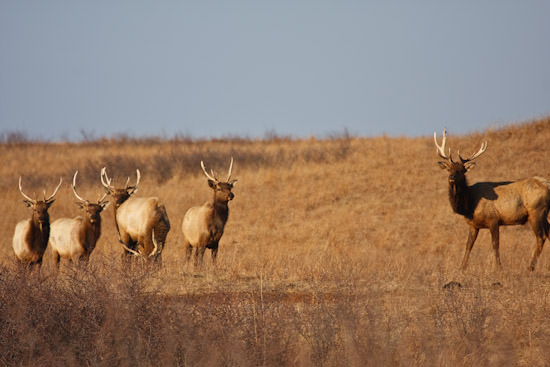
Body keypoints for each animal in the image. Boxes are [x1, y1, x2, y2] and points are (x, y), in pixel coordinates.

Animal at [436, 129, 550, 270]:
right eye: (449, 169)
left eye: (462, 171)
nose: (451, 177)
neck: (469, 206)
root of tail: (547, 184)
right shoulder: (473, 225)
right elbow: (468, 246)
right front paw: (461, 268)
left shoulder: (493, 219)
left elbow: (495, 245)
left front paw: (499, 268)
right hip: (544, 214)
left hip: (536, 212)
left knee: (541, 237)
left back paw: (530, 267)